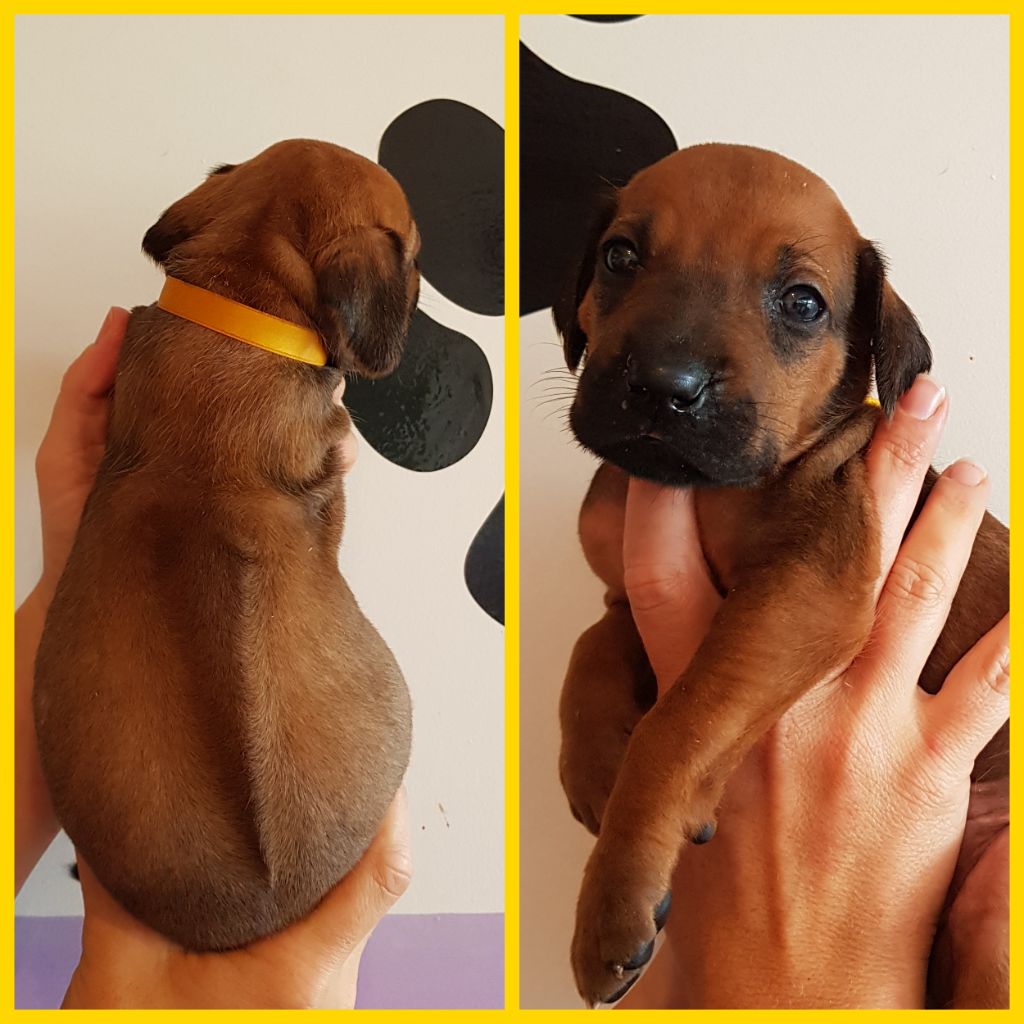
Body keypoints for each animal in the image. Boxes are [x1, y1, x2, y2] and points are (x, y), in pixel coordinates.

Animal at [554, 143, 1008, 1007]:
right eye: (619, 257)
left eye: (802, 304)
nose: (664, 386)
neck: (706, 495)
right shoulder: (627, 591)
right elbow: (588, 648)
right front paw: (594, 763)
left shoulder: (809, 588)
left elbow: (679, 722)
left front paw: (612, 899)